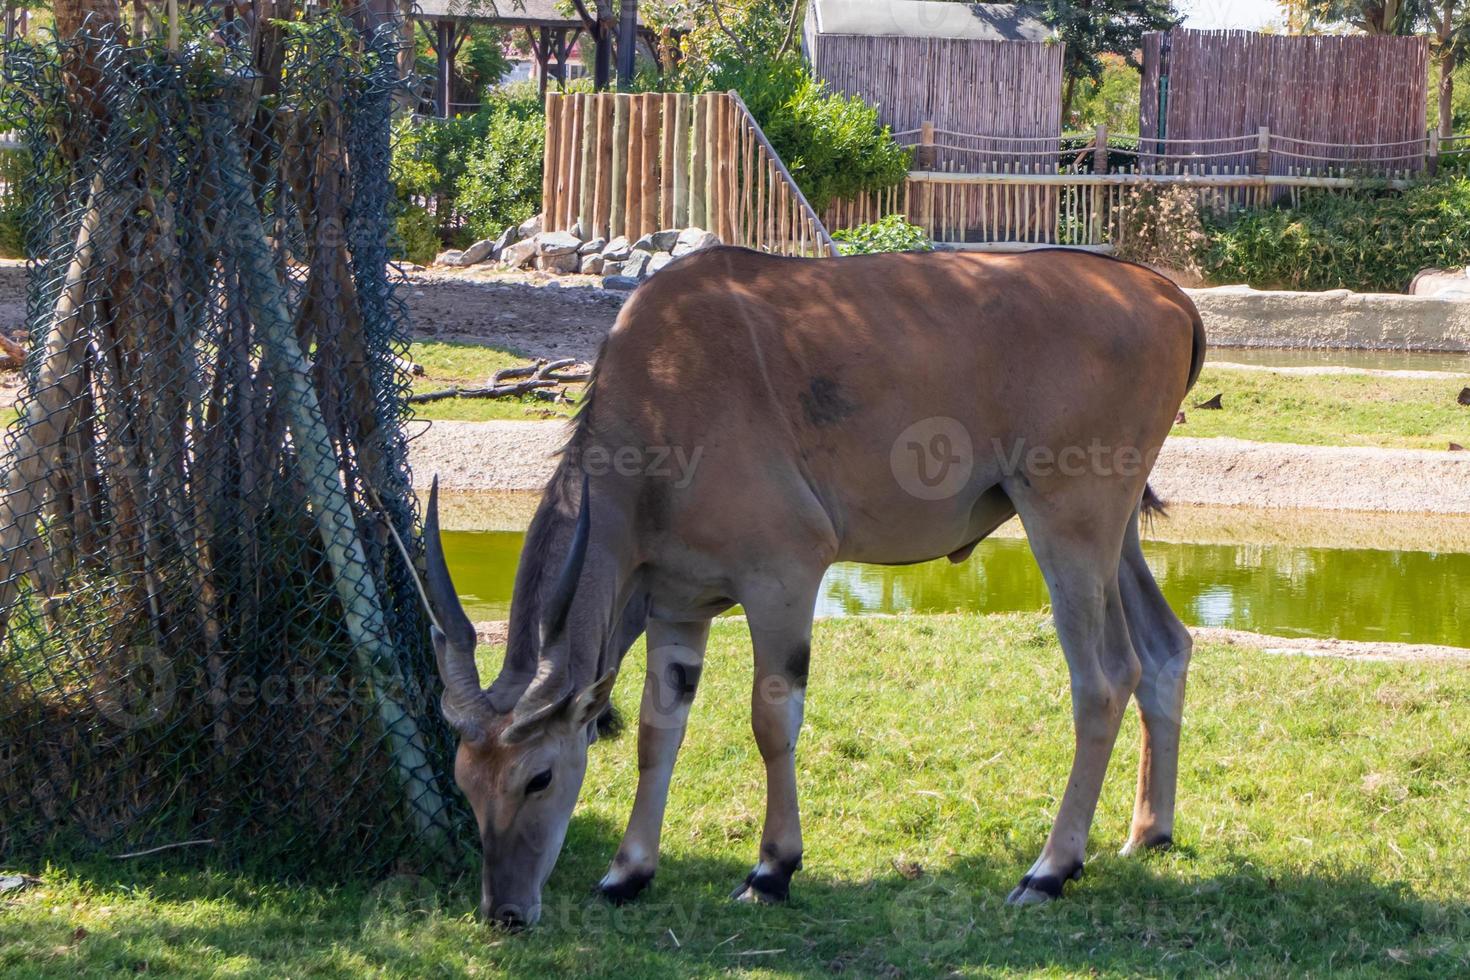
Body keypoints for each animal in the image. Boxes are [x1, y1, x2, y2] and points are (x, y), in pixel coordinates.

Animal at [417, 245, 1205, 928]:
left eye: (540, 777)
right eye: (464, 782)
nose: (504, 911)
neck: (663, 396)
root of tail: (1166, 295)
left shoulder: (783, 578)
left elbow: (772, 721)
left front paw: (772, 870)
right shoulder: (679, 606)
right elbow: (655, 730)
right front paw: (627, 872)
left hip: (1068, 522)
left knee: (1105, 676)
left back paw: (1049, 869)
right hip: (1115, 531)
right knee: (1166, 646)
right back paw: (1149, 832)